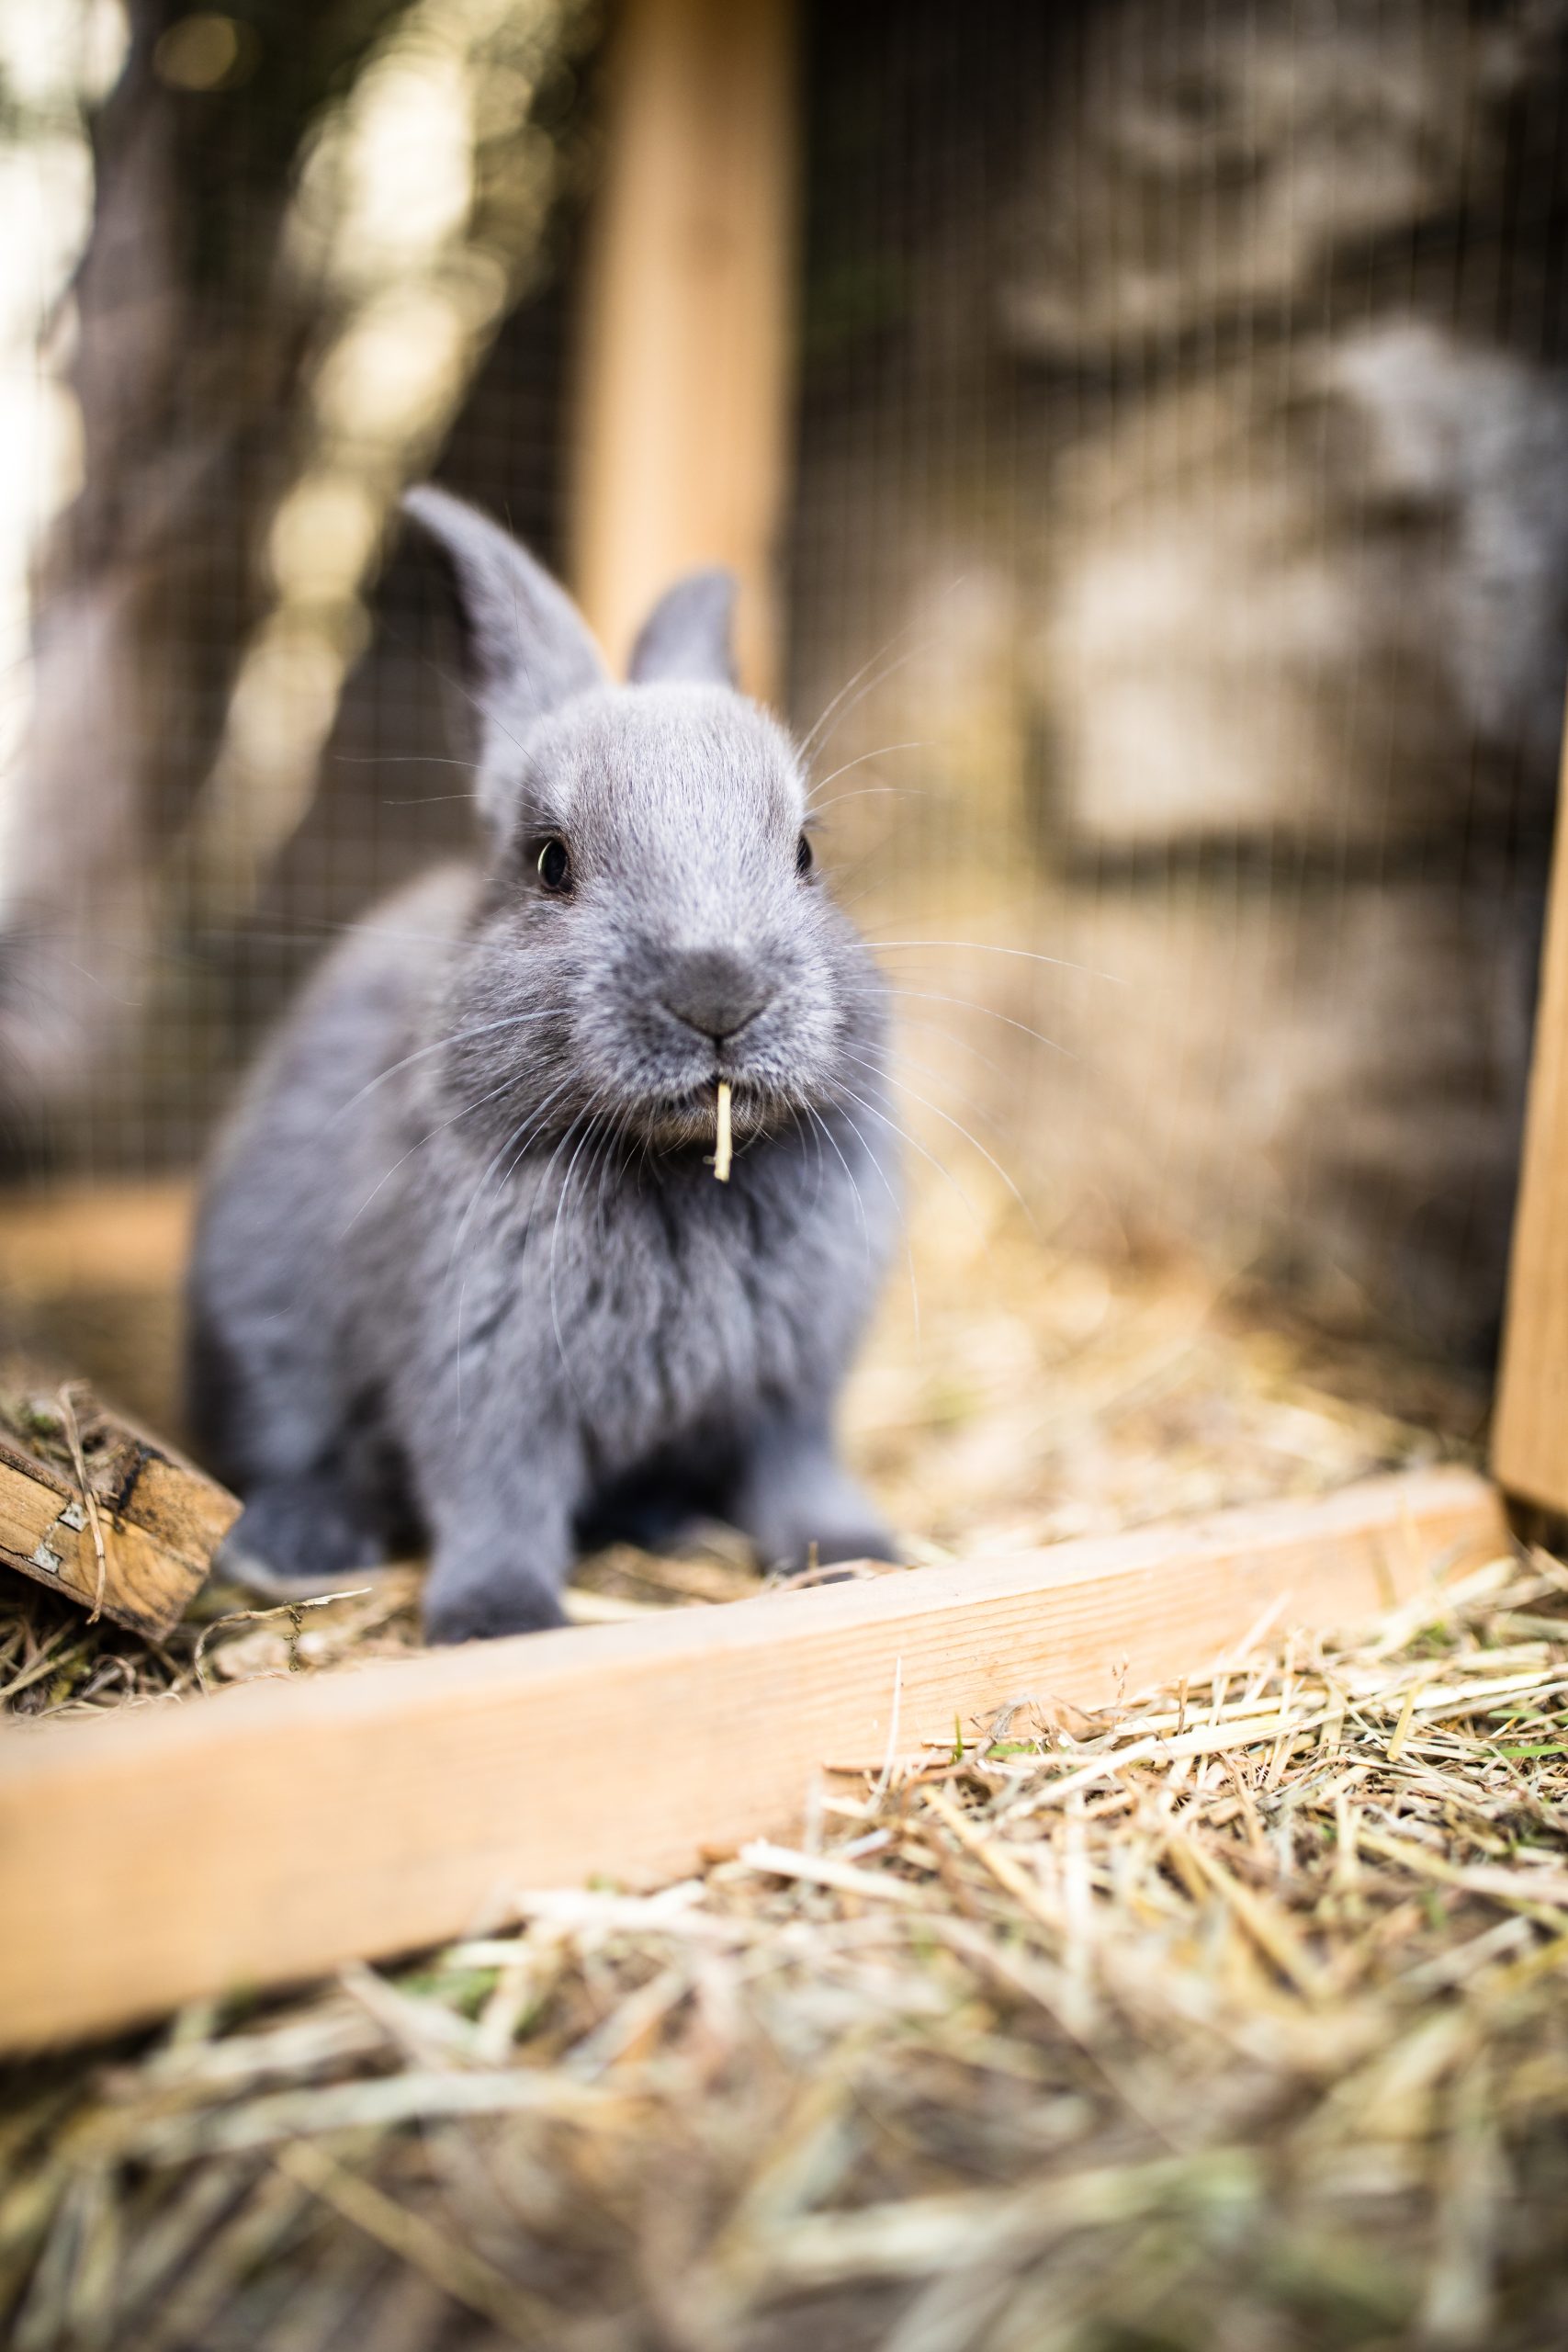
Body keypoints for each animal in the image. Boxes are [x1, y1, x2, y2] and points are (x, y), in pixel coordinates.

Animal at [187, 487, 900, 1642]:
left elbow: (798, 1475)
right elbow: (495, 1496)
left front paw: (857, 1557)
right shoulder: (481, 1377)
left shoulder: (791, 1389)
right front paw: (499, 1620)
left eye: (806, 854)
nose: (719, 993)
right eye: (549, 863)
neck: (675, 1168)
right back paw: (290, 1548)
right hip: (263, 1355)